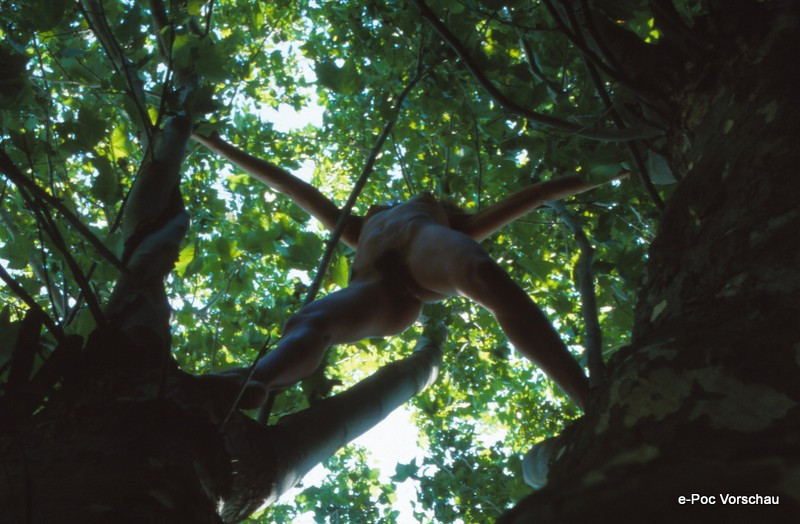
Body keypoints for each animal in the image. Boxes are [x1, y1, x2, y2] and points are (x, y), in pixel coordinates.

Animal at [193, 132, 627, 411]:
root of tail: (394, 277)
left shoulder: (450, 223)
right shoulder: (358, 226)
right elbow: (301, 192)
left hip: (414, 275)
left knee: (479, 274)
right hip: (384, 301)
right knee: (313, 323)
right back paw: (237, 387)